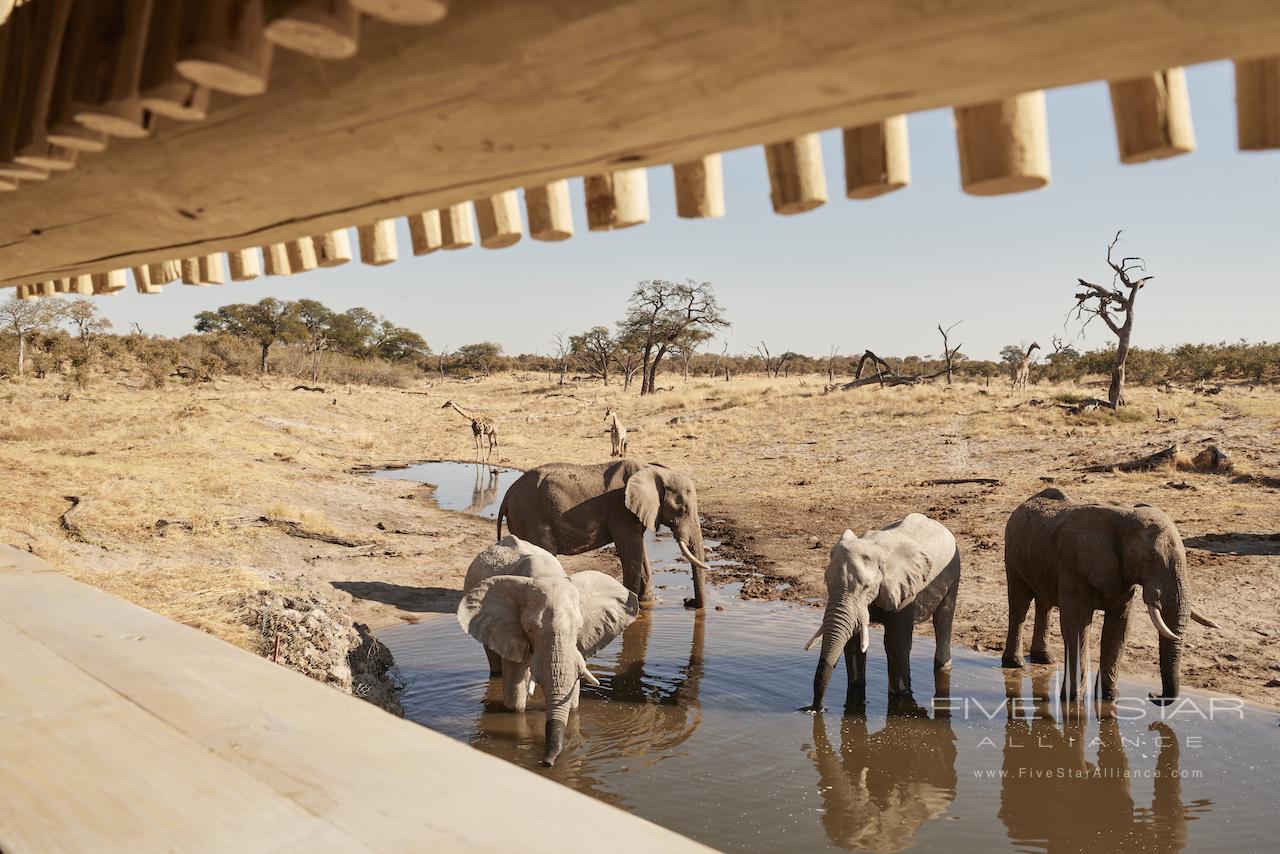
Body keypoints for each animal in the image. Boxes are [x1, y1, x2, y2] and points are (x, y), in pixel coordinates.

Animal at [458, 535, 640, 768]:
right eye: (530, 629)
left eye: (579, 628)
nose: (547, 763)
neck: (545, 576)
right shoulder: (510, 628)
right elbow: (515, 696)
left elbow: (572, 695)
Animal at [494, 460, 711, 606]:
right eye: (683, 510)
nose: (689, 601)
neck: (653, 470)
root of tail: (507, 495)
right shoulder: (620, 510)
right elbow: (631, 551)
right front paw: (632, 605)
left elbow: (640, 552)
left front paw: (648, 602)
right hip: (530, 515)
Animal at [798, 517, 962, 711]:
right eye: (826, 581)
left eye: (866, 587)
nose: (815, 708)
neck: (875, 548)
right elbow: (853, 642)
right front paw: (856, 687)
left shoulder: (903, 589)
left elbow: (895, 642)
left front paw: (900, 695)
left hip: (954, 570)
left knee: (943, 617)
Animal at [998, 491, 1218, 706]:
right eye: (1150, 559)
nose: (1153, 695)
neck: (1124, 519)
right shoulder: (1073, 566)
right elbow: (1077, 626)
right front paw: (1073, 701)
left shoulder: (1122, 574)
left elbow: (1119, 628)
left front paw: (1110, 698)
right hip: (1012, 555)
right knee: (1019, 604)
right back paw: (1015, 663)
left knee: (1045, 604)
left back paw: (1045, 659)